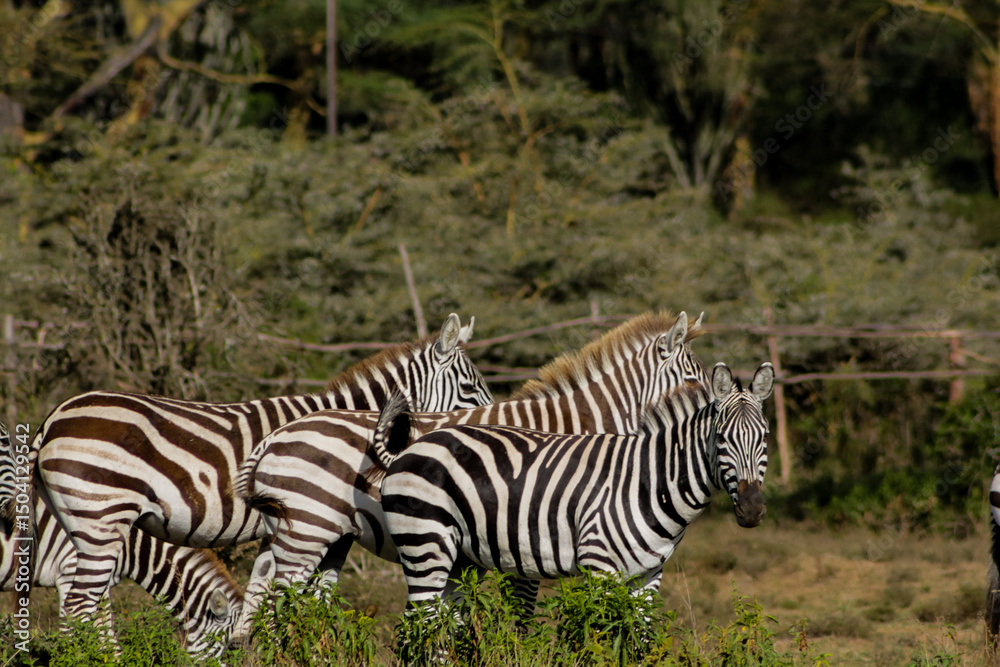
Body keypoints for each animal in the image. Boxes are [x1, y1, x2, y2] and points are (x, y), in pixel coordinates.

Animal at [3, 314, 492, 632]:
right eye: (471, 390)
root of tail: (52, 419)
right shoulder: (314, 521)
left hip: (76, 522)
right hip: (101, 515)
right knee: (82, 604)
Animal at [232, 311, 707, 640]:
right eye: (691, 381)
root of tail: (275, 436)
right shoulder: (528, 539)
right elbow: (522, 616)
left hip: (319, 536)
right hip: (306, 531)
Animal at [373, 361, 773, 609]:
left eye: (765, 437)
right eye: (721, 438)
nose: (753, 509)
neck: (650, 479)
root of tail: (409, 448)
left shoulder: (648, 575)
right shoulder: (599, 566)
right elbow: (600, 639)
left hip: (459, 560)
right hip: (424, 543)